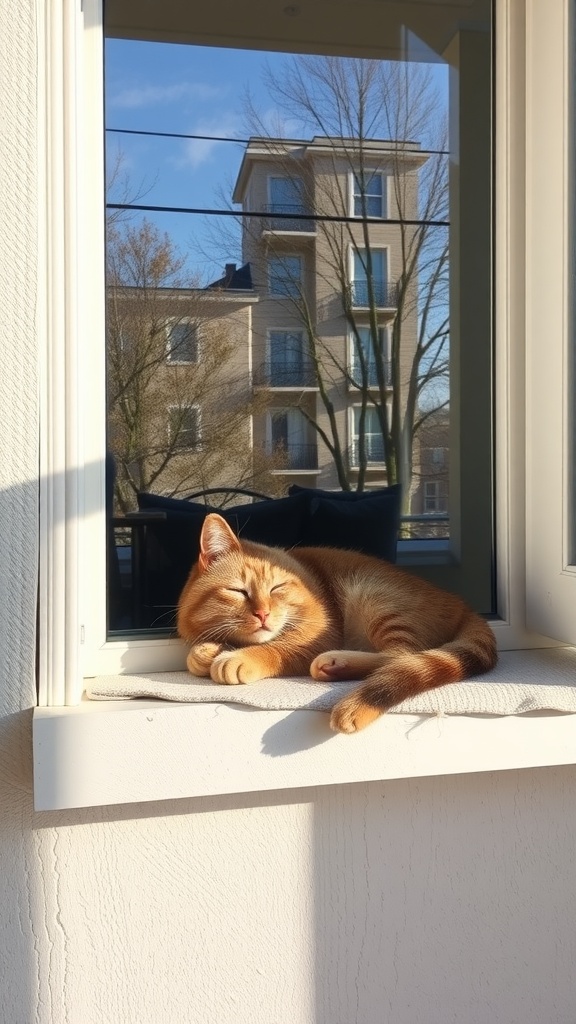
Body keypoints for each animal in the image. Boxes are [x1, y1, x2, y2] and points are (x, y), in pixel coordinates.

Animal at [177, 516, 496, 733]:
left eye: (277, 588)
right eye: (239, 591)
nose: (263, 614)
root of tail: (462, 604)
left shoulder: (319, 635)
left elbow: (277, 647)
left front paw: (237, 657)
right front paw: (206, 652)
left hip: (374, 596)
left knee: (401, 656)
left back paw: (336, 663)